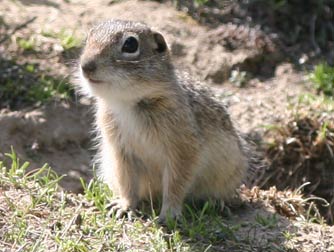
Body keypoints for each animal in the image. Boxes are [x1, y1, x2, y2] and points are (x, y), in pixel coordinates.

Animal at [77, 19, 247, 220]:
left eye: (130, 44)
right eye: (89, 37)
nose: (86, 66)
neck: (128, 103)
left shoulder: (182, 149)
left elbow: (176, 183)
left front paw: (170, 214)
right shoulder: (121, 152)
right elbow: (127, 182)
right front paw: (124, 206)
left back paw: (217, 203)